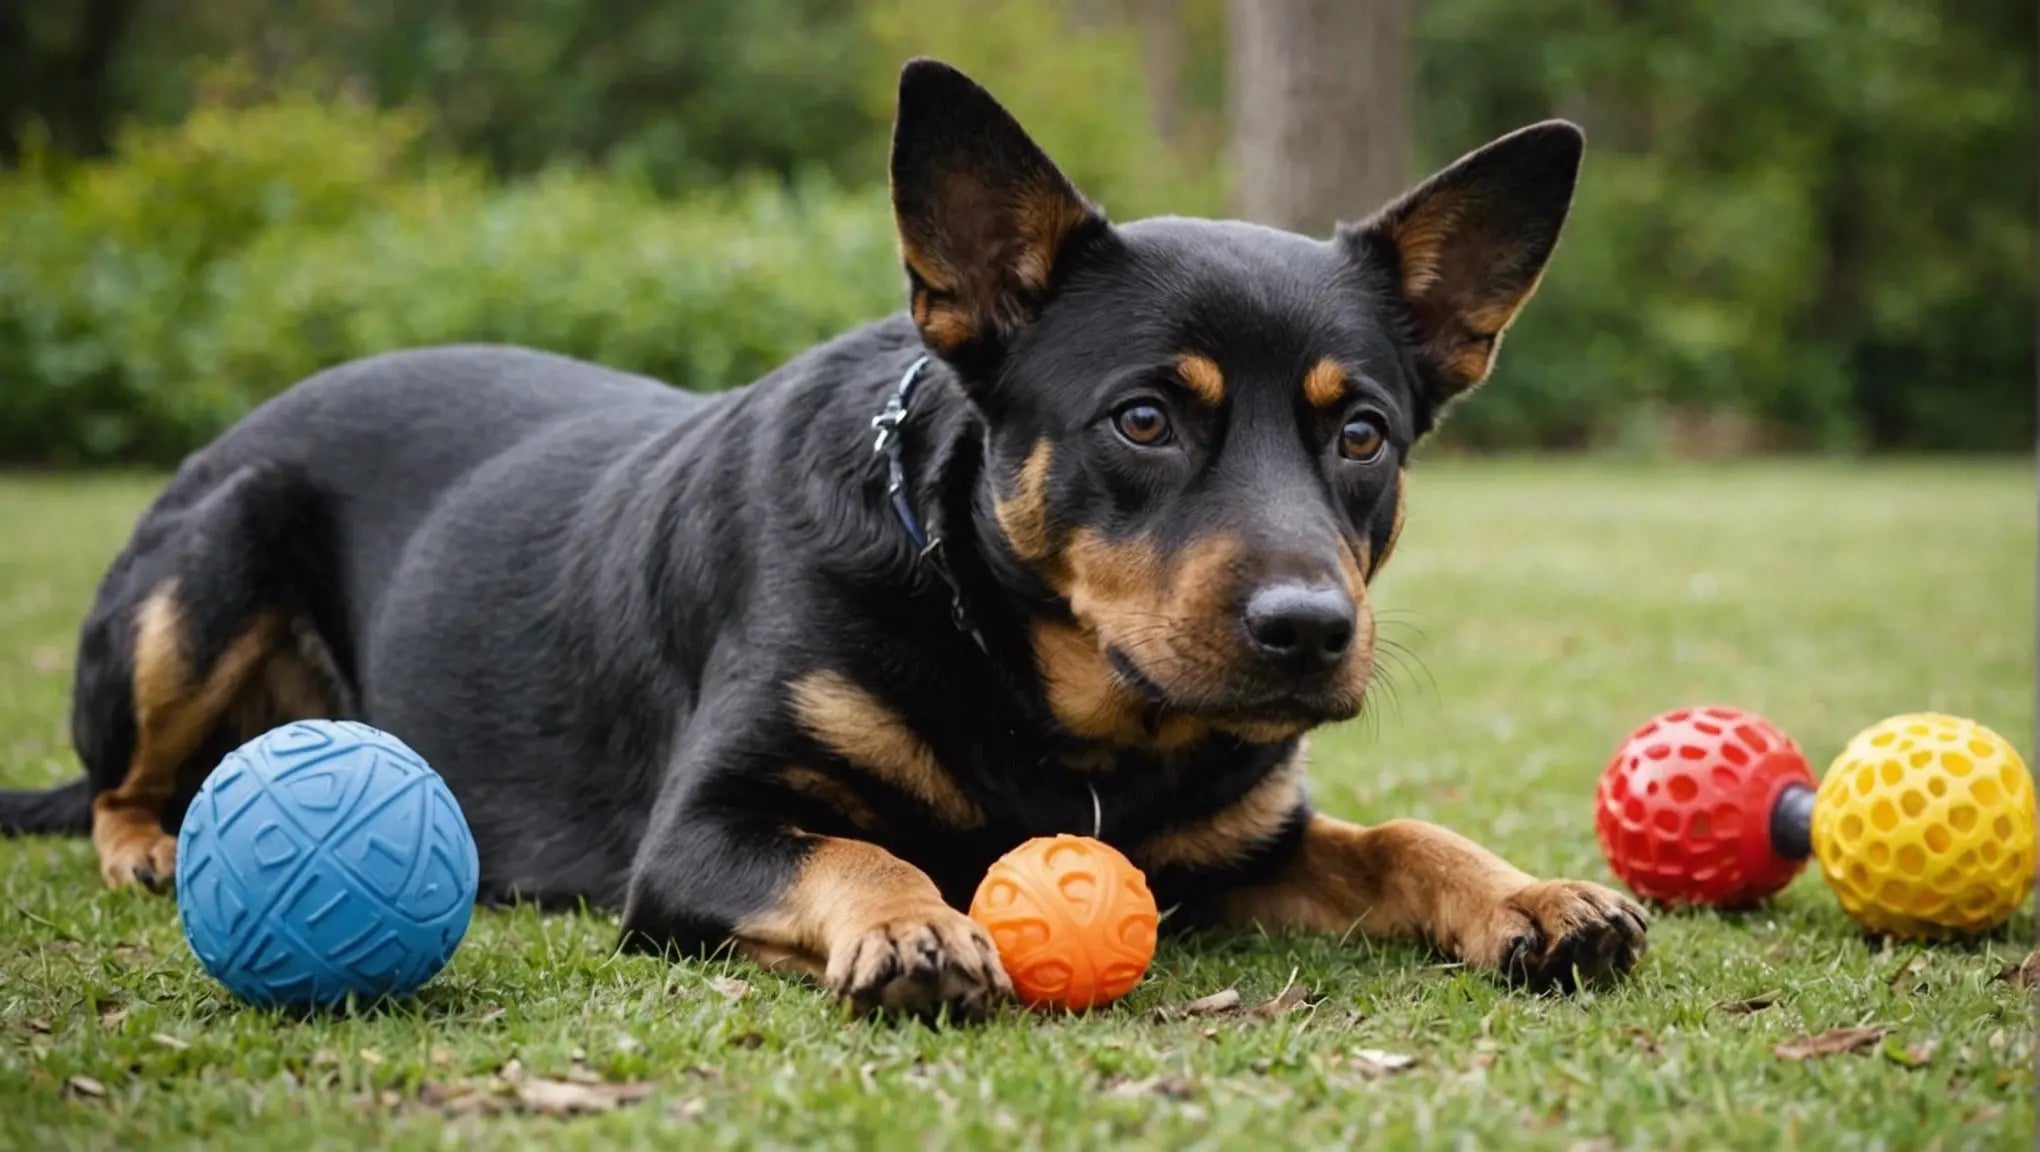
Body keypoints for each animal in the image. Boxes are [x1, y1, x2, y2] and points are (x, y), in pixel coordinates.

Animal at [0, 60, 1640, 1015]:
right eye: (1143, 422)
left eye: (1361, 438)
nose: (1308, 631)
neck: (1034, 688)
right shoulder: (701, 832)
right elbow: (855, 848)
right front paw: (912, 928)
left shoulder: (1239, 847)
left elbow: (1401, 838)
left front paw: (1526, 895)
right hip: (218, 550)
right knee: (115, 783)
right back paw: (148, 839)